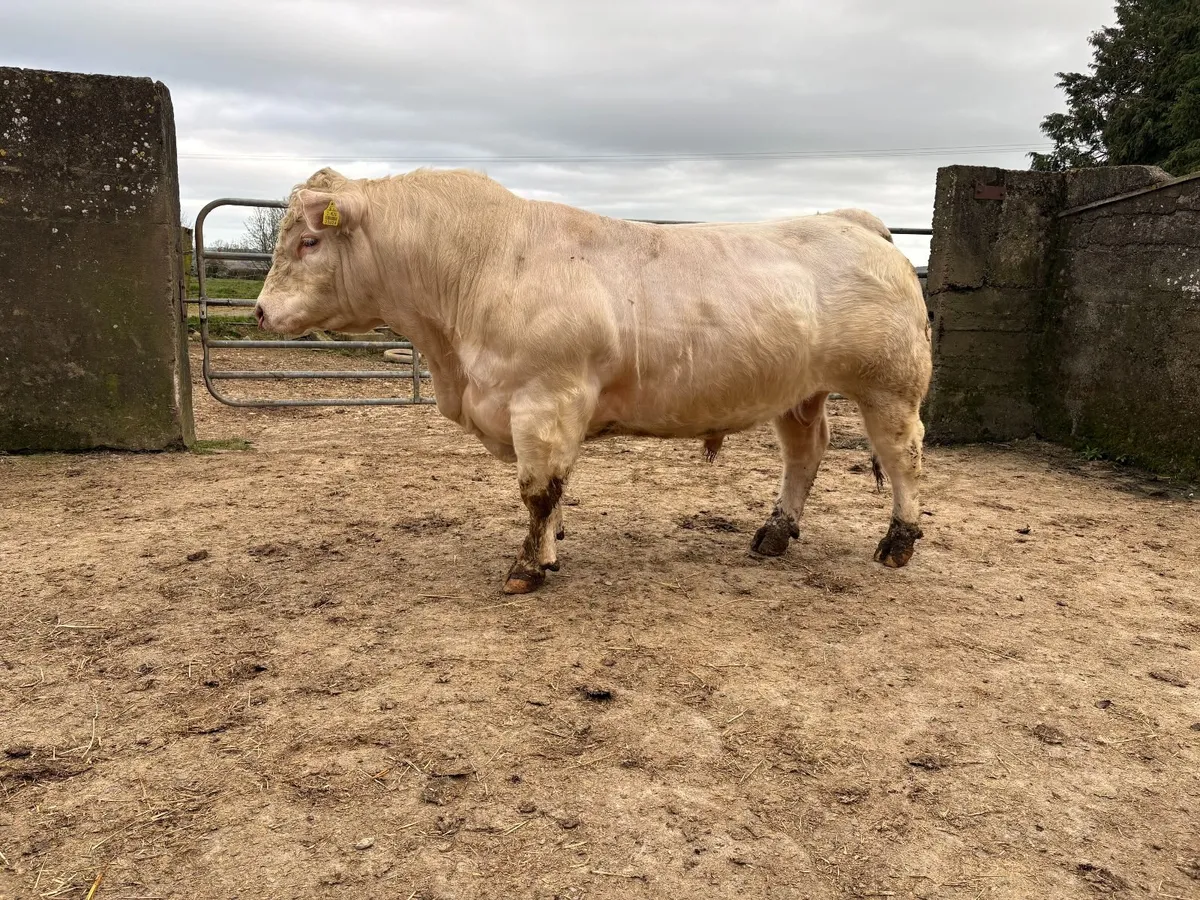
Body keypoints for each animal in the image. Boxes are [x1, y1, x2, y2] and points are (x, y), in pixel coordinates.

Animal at [255, 167, 933, 594]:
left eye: (309, 240)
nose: (260, 311)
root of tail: (855, 221)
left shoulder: (544, 401)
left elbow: (538, 491)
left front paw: (526, 569)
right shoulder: (546, 412)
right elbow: (555, 490)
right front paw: (551, 553)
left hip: (889, 385)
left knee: (903, 456)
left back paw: (899, 542)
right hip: (799, 391)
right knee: (804, 453)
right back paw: (773, 533)